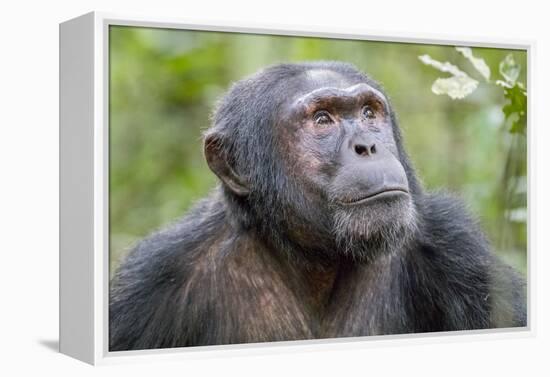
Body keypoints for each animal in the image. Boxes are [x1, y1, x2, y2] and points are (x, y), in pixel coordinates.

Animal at [110, 60, 528, 352]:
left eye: (368, 113)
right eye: (322, 119)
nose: (367, 145)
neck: (317, 258)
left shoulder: (459, 250)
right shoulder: (149, 283)